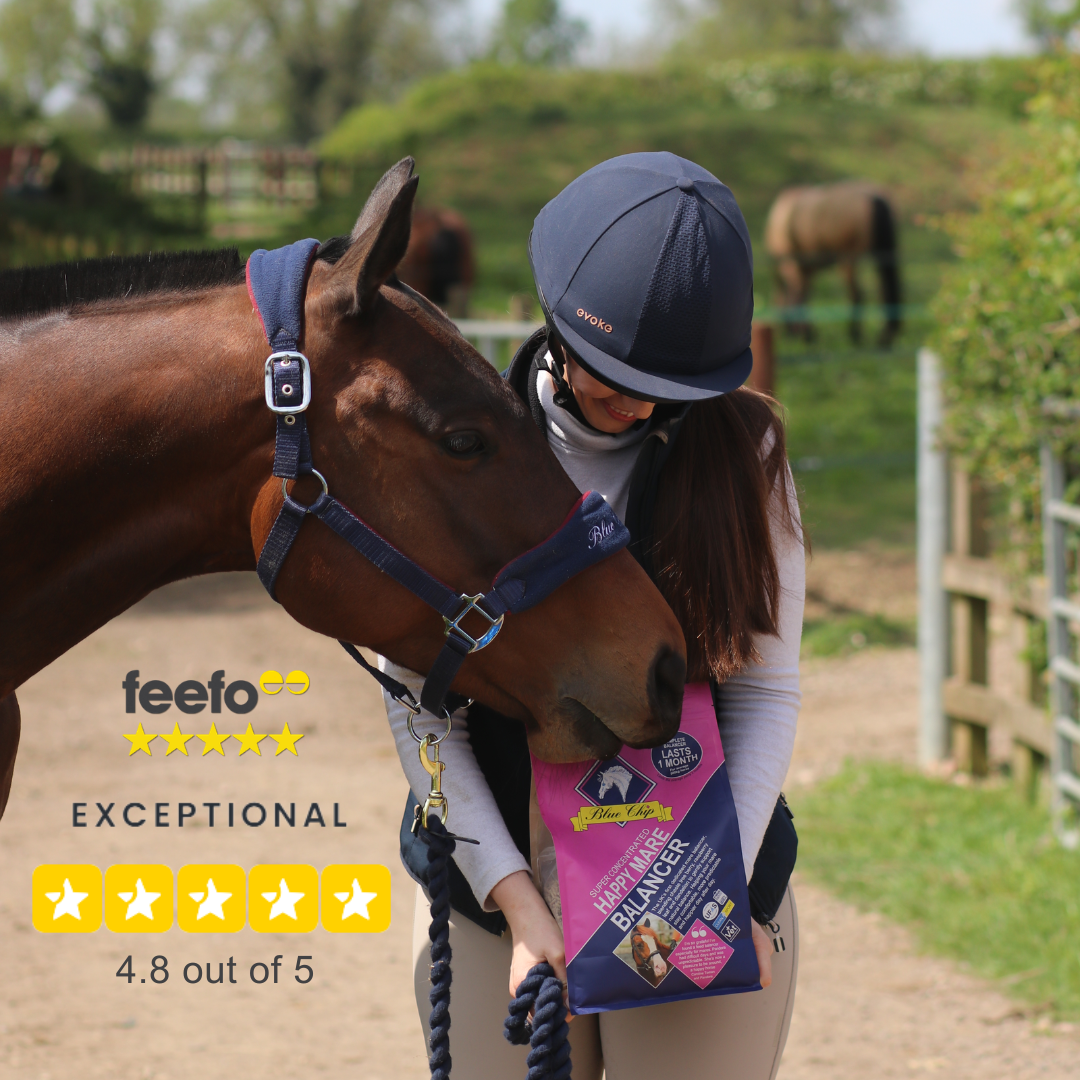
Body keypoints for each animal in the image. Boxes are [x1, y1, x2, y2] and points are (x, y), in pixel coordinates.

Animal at [763, 181, 901, 347]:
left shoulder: (797, 266)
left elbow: (797, 297)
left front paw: (804, 334)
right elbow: (798, 296)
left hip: (848, 260)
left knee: (857, 294)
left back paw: (856, 335)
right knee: (879, 291)